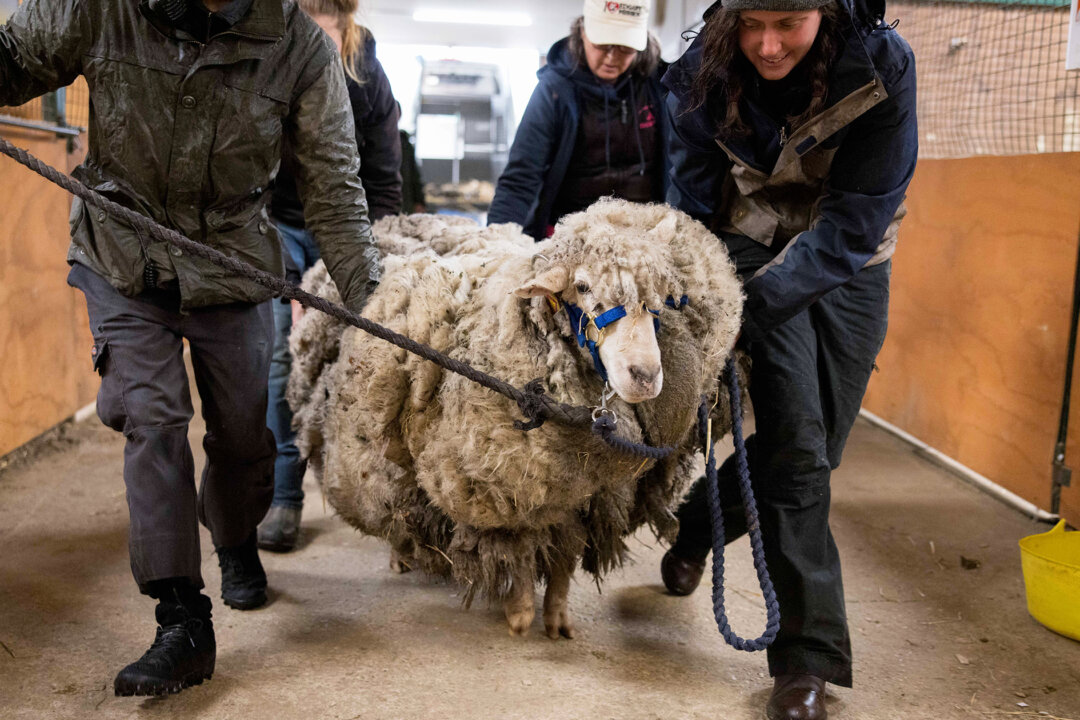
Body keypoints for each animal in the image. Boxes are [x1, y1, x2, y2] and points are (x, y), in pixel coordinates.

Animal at [289, 199, 745, 638]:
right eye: (582, 286)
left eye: (666, 295)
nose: (646, 376)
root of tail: (398, 218)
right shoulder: (505, 485)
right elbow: (522, 546)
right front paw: (521, 612)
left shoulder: (582, 496)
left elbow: (563, 557)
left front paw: (557, 617)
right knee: (390, 495)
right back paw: (401, 554)